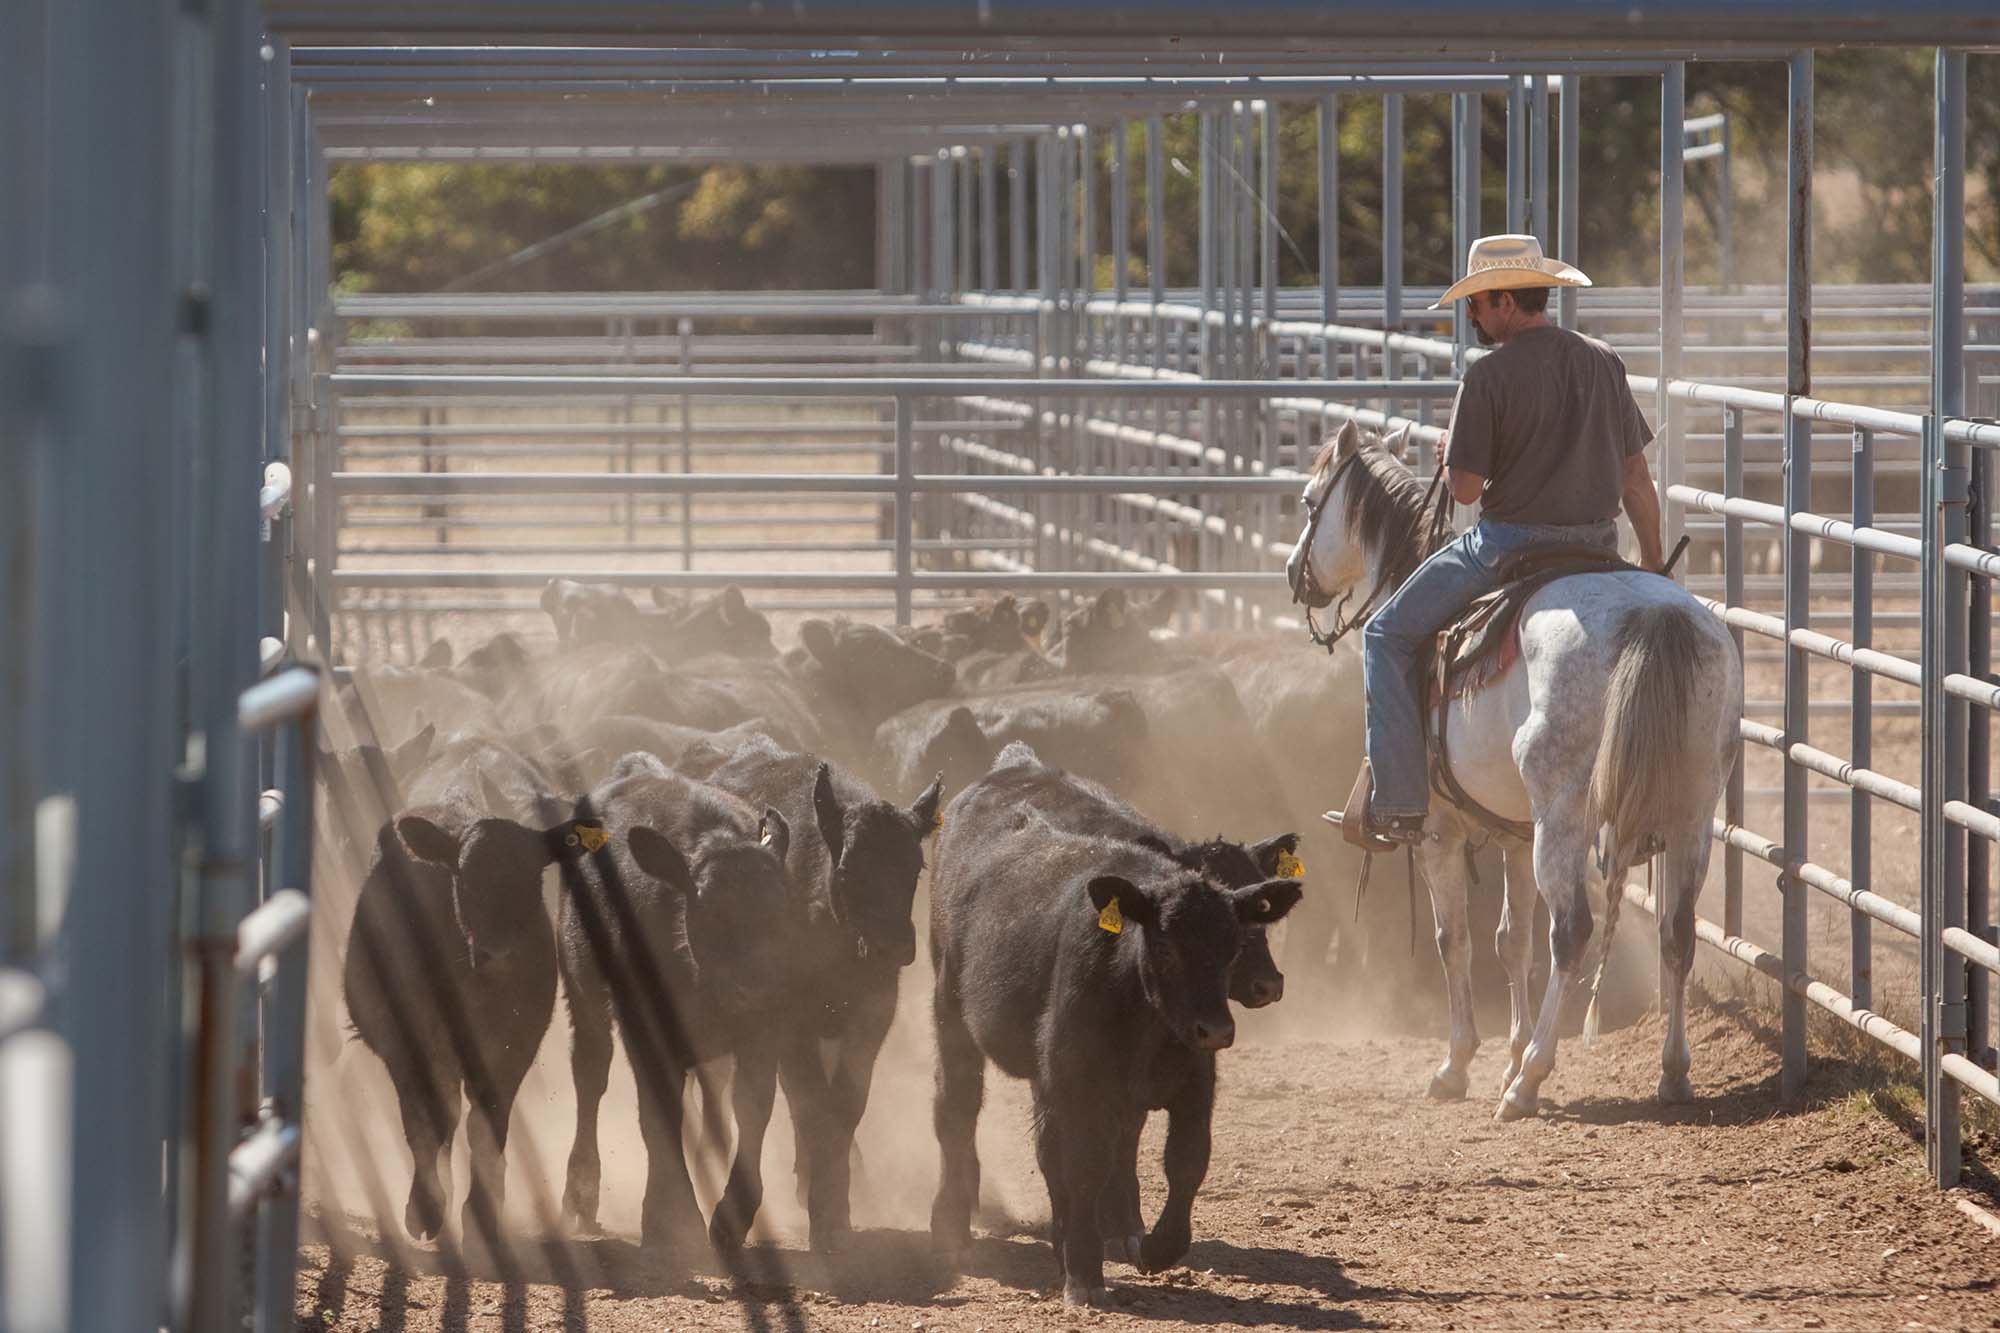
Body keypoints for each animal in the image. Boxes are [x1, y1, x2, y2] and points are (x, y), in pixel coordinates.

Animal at [680, 736, 944, 1248]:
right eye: (847, 870)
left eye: (915, 867)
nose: (895, 945)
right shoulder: (790, 1027)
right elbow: (811, 1104)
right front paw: (825, 1211)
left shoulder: (871, 1016)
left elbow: (845, 1103)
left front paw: (835, 1203)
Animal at [1288, 420, 1744, 1112]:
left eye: (1312, 501)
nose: (1295, 572)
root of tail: (1650, 615)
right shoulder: (1514, 833)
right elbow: (1512, 941)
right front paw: (1504, 1055)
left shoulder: (1441, 831)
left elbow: (1456, 940)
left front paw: (1459, 1066)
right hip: (1693, 811)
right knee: (1676, 931)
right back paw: (1671, 1072)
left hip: (1562, 815)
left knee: (1573, 931)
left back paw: (1531, 1081)